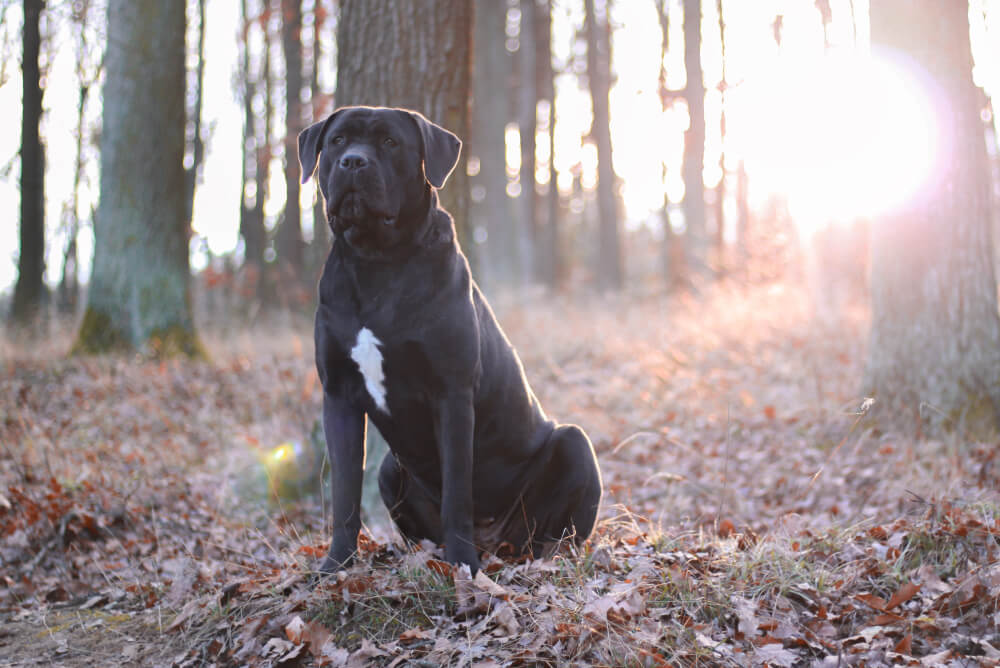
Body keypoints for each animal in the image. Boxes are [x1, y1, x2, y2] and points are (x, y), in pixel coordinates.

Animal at [296, 105, 600, 576]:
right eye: (337, 141)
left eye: (390, 142)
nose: (354, 162)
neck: (375, 261)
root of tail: (496, 542)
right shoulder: (339, 394)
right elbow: (345, 492)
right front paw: (336, 566)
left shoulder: (451, 393)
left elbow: (457, 491)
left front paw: (463, 567)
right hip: (390, 468)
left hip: (574, 443)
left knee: (562, 531)